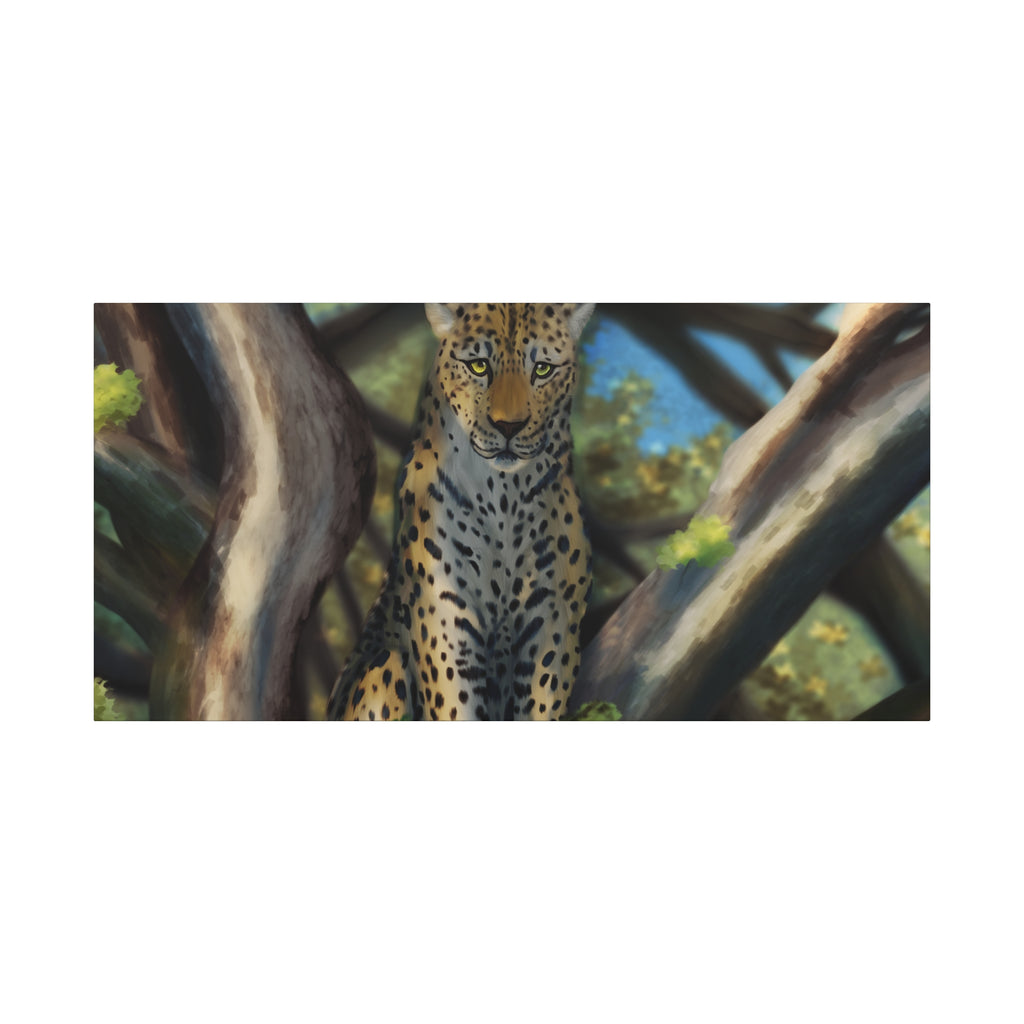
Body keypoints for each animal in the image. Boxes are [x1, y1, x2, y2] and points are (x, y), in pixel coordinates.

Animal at [327, 302, 594, 721]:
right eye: (479, 366)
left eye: (542, 369)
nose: (508, 427)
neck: (504, 496)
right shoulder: (445, 620)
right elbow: (455, 706)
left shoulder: (553, 622)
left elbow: (540, 705)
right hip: (383, 670)